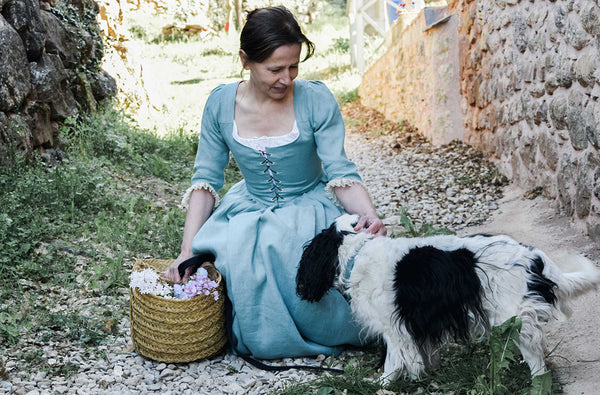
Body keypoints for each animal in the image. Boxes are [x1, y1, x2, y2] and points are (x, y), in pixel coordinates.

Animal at [296, 215, 600, 386]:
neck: (357, 252)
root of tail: (533, 256)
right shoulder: (418, 324)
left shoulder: (394, 329)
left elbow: (393, 362)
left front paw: (380, 384)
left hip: (514, 317)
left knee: (536, 358)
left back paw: (536, 381)